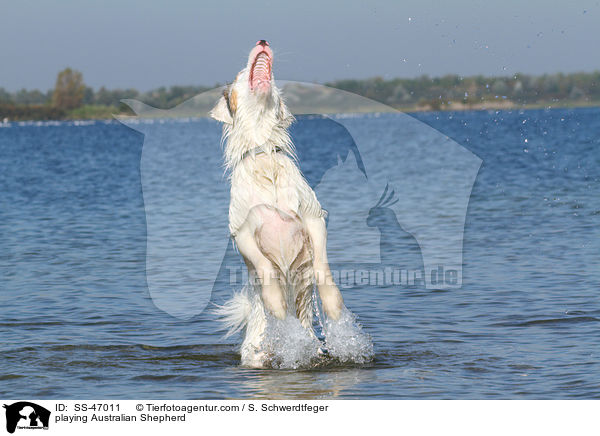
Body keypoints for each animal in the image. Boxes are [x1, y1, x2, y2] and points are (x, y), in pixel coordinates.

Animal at [211, 41, 342, 368]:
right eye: (239, 73)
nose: (263, 41)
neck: (263, 155)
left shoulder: (313, 216)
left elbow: (322, 267)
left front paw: (335, 309)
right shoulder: (242, 232)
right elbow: (265, 269)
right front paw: (278, 307)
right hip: (254, 357)